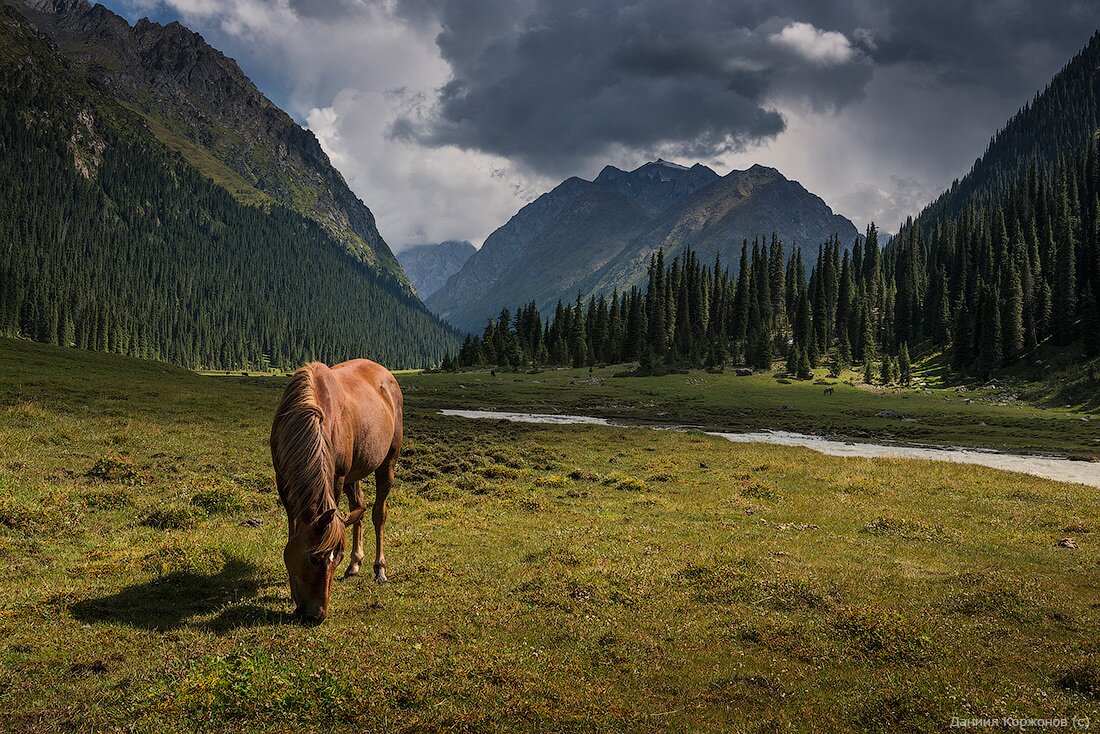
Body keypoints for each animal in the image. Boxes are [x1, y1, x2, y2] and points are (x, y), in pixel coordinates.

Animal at [270, 358, 404, 625]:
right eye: (314, 558)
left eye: (336, 558)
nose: (317, 615)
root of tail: (387, 376)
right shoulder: (283, 481)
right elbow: (294, 529)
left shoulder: (337, 478)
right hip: (354, 472)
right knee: (358, 508)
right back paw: (356, 565)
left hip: (387, 463)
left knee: (378, 514)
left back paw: (379, 569)